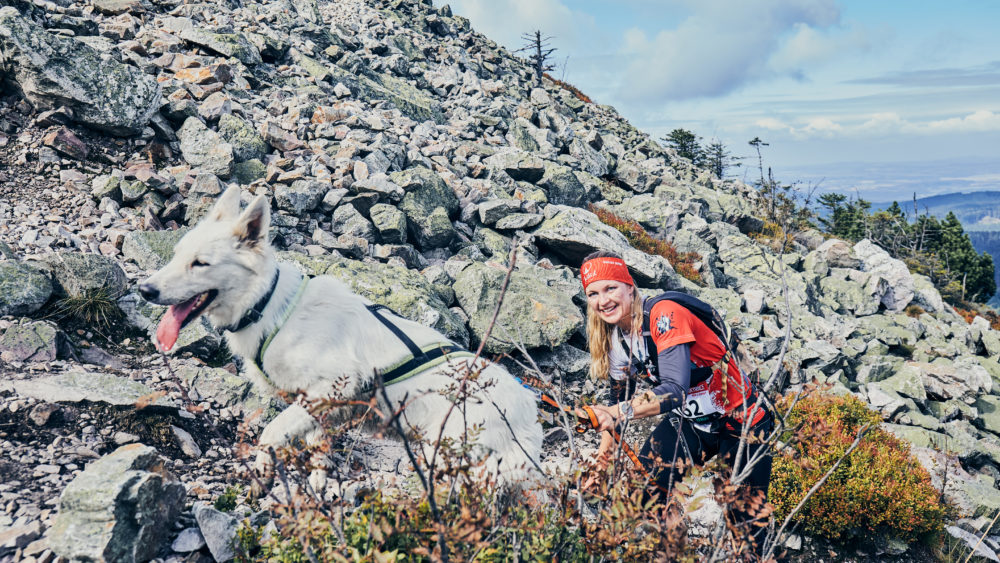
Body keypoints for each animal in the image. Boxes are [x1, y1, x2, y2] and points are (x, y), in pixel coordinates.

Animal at [138, 187, 544, 492]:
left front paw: (264, 473)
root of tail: (527, 407)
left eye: (200, 263)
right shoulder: (318, 405)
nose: (145, 290)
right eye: (177, 254)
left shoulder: (332, 384)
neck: (271, 307)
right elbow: (316, 447)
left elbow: (270, 432)